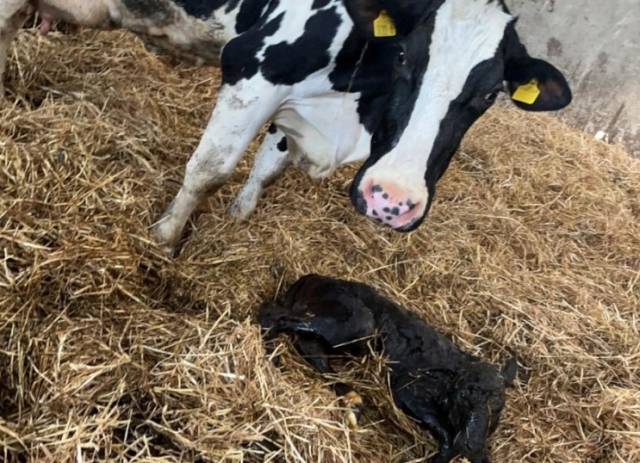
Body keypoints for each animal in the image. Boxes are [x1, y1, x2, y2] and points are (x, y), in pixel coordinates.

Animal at [0, 0, 568, 254]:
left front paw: (238, 215)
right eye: (406, 55)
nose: (391, 200)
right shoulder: (254, 66)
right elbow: (210, 168)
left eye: (489, 94)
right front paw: (164, 237)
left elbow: (267, 166)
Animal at [258, 276, 516, 463]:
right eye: (463, 396)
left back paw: (353, 402)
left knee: (311, 349)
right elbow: (446, 437)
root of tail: (310, 278)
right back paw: (270, 356)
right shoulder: (407, 390)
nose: (474, 446)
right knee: (274, 314)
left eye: (498, 409)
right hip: (358, 322)